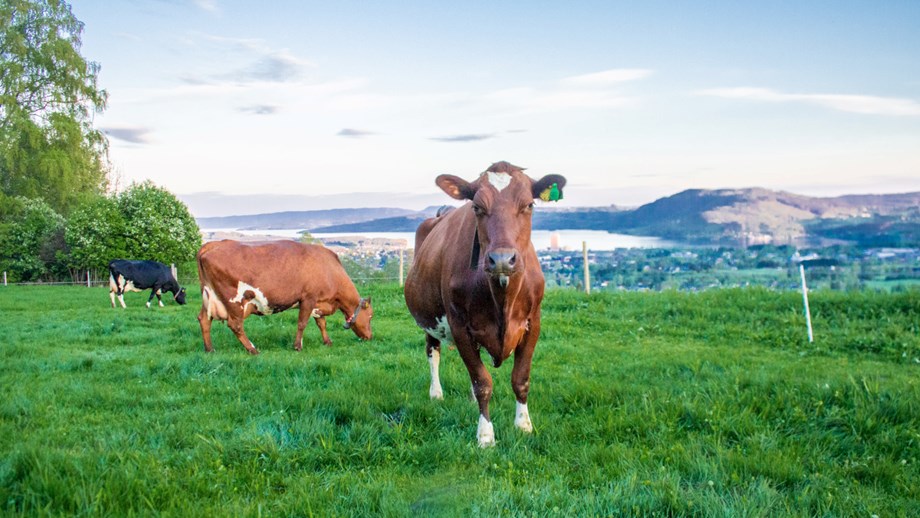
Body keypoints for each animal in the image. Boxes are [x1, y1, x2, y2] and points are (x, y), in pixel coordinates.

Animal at [196, 241, 372, 356]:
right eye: (371, 316)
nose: (370, 337)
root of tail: (211, 245)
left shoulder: (318, 302)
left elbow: (321, 323)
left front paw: (327, 342)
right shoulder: (308, 298)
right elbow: (302, 323)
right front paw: (298, 346)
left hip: (209, 297)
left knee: (204, 319)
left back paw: (209, 349)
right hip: (235, 301)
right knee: (235, 325)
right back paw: (252, 349)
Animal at [404, 160, 564, 448]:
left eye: (529, 205)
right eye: (477, 207)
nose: (502, 259)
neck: (503, 299)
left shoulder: (533, 322)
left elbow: (520, 378)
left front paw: (524, 426)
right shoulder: (459, 324)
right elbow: (482, 382)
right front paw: (486, 436)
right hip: (429, 319)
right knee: (433, 352)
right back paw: (436, 393)